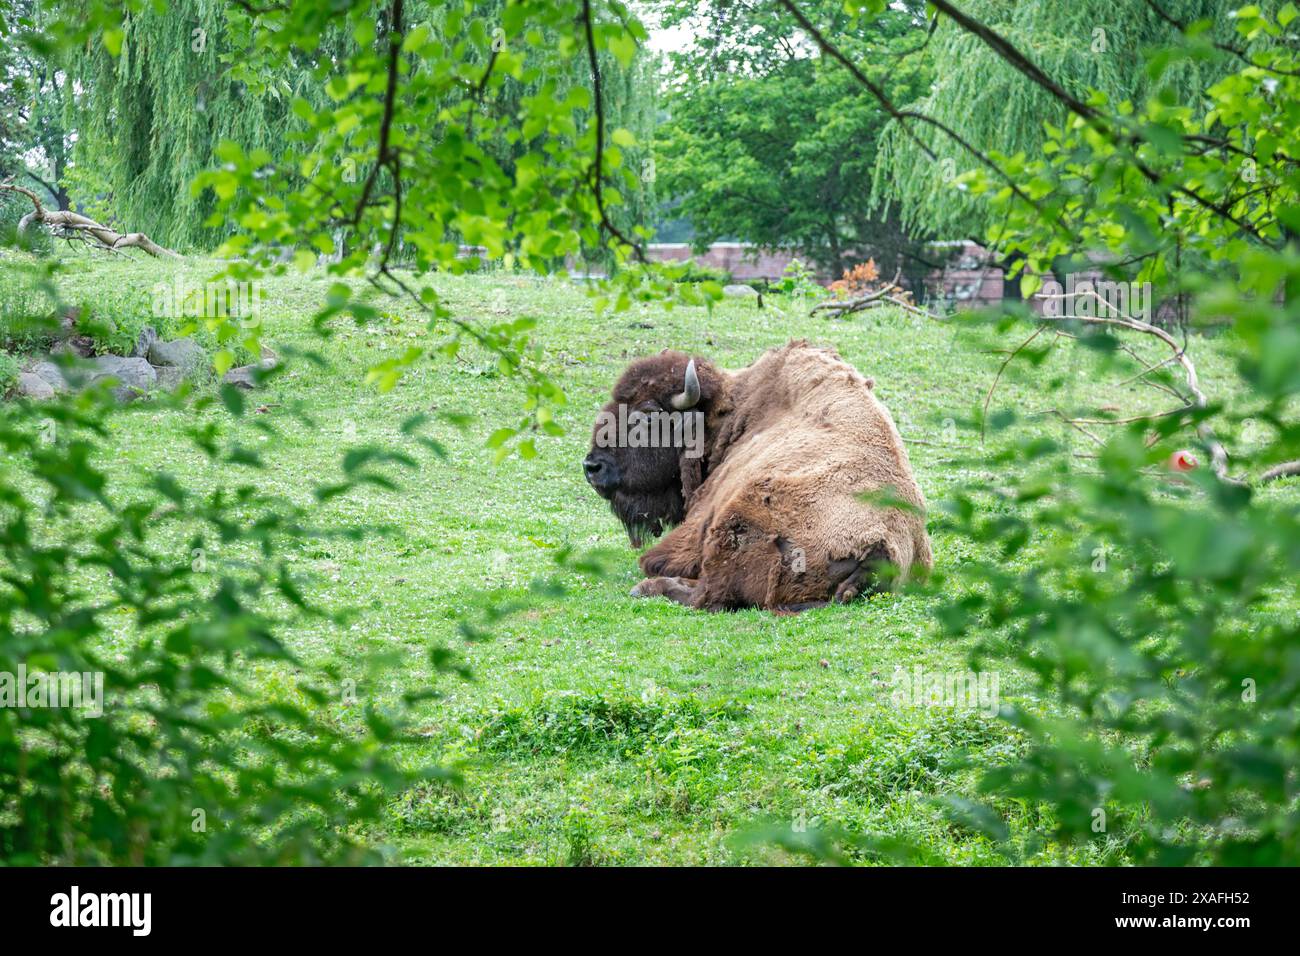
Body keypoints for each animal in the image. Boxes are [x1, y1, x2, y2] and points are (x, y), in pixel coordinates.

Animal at [583, 340, 932, 611]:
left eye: (648, 414)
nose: (592, 467)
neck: (726, 416)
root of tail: (880, 549)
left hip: (736, 520)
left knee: (708, 596)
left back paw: (647, 587)